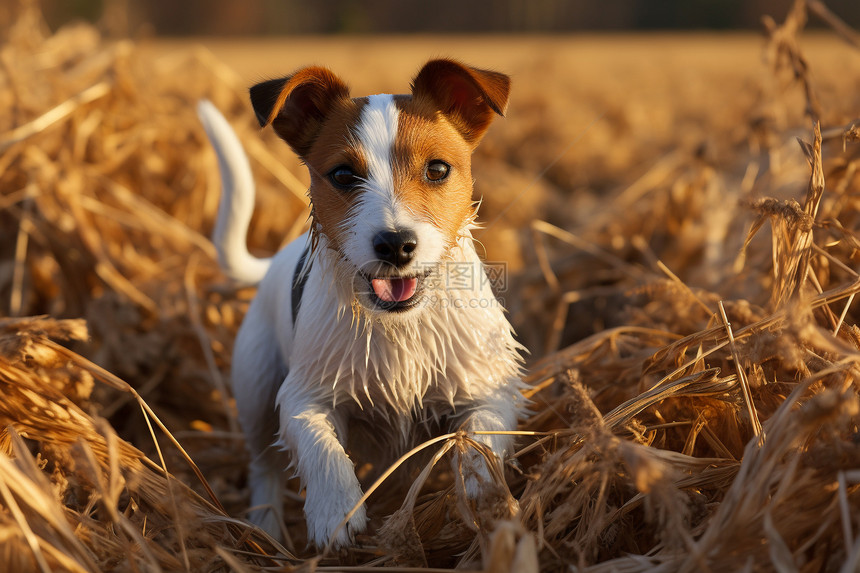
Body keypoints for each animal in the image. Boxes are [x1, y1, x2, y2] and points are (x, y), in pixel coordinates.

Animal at [200, 59, 524, 548]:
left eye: (437, 169)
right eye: (342, 175)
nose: (395, 244)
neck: (401, 323)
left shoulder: (489, 390)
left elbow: (478, 437)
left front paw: (482, 492)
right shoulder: (303, 396)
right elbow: (321, 446)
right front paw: (336, 509)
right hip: (255, 388)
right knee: (263, 467)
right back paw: (267, 527)